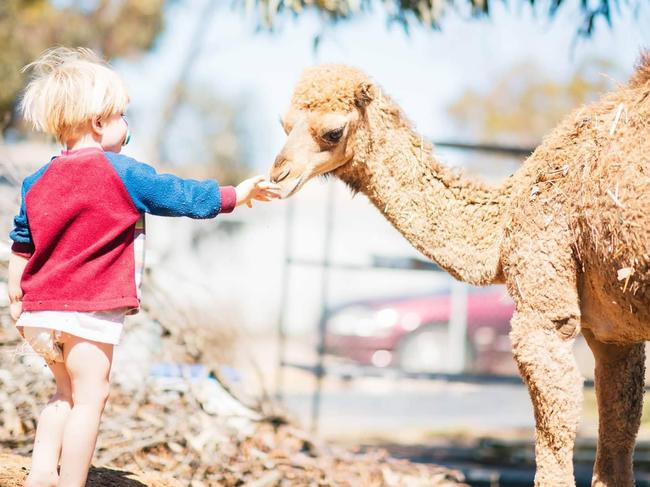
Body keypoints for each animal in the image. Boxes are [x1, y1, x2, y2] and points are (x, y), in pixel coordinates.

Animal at [268, 59, 648, 486]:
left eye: (332, 132)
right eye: (284, 124)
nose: (278, 176)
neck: (504, 218)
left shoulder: (544, 309)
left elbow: (557, 432)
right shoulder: (615, 332)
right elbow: (619, 432)